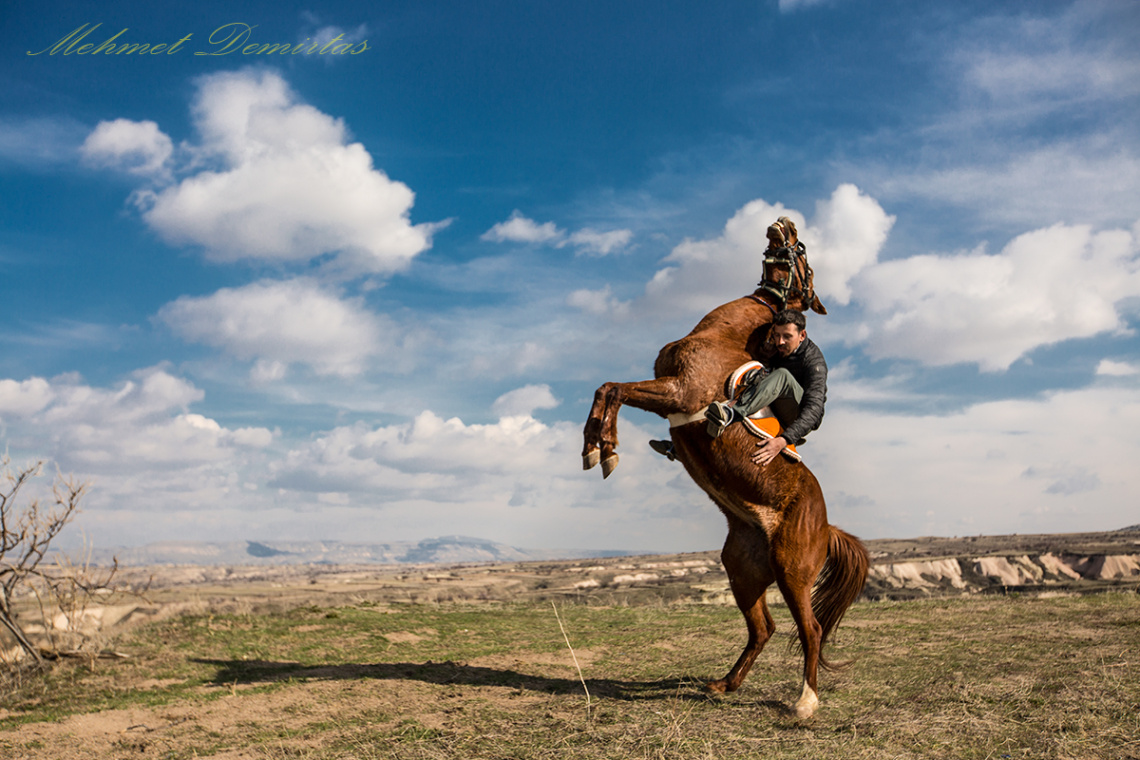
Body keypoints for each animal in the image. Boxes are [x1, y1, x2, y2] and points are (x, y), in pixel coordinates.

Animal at [583, 224, 866, 720]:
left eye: (804, 259)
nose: (781, 223)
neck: (724, 334)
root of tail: (827, 526)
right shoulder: (667, 396)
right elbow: (607, 388)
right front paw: (593, 447)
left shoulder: (678, 392)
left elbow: (614, 388)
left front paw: (606, 450)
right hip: (743, 569)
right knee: (764, 628)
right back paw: (726, 684)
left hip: (793, 570)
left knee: (810, 629)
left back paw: (805, 701)